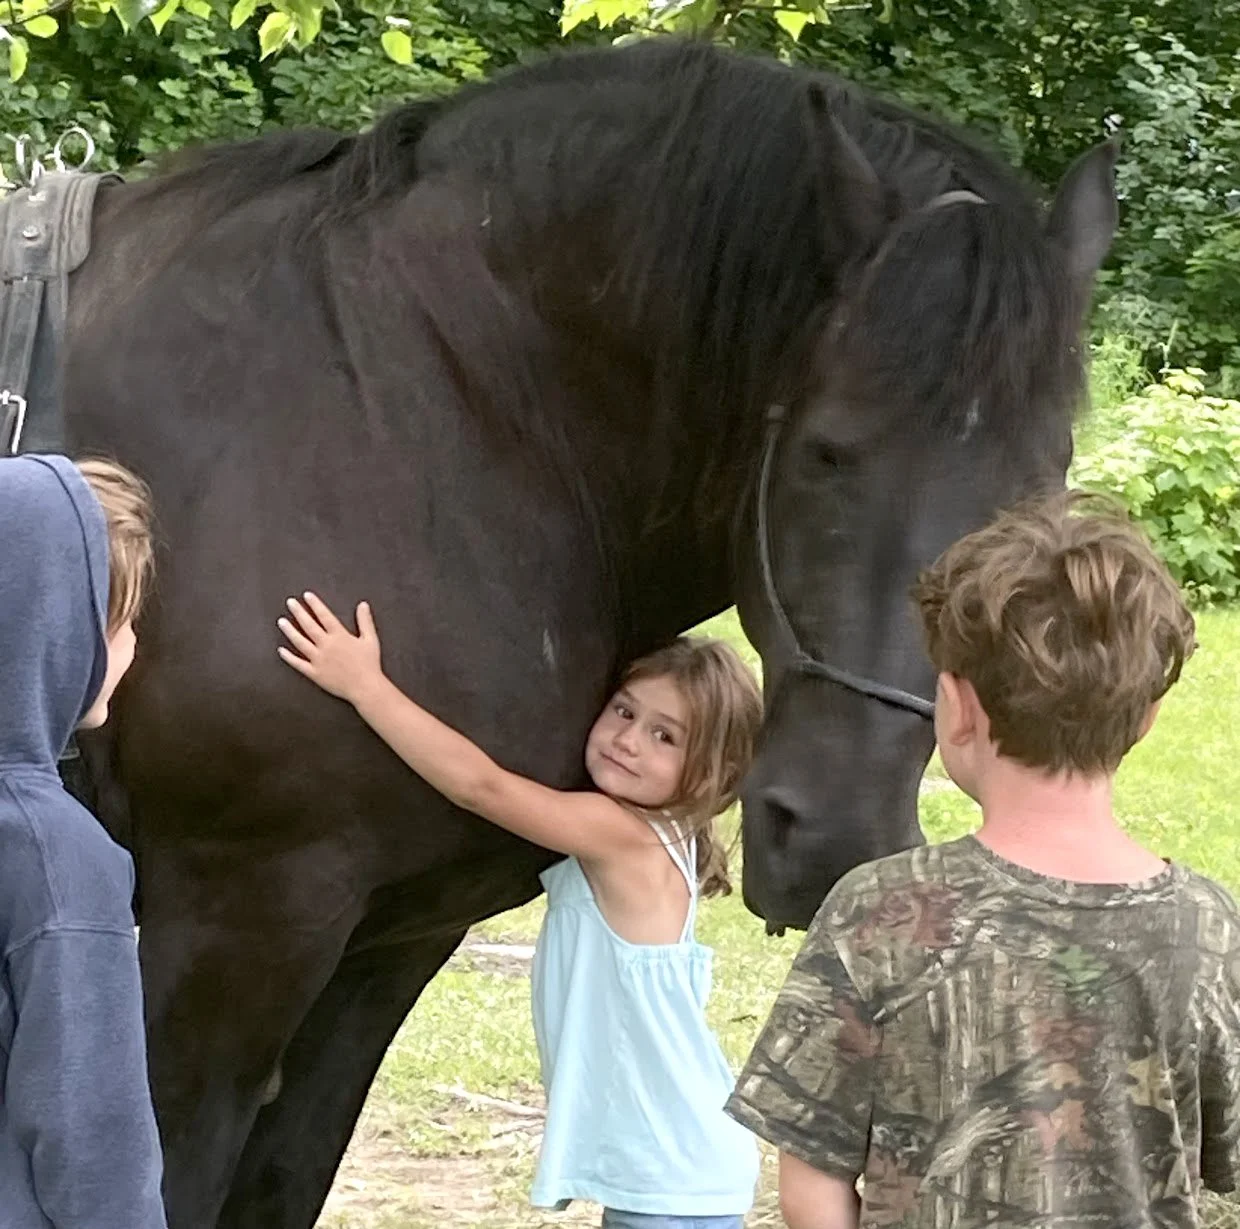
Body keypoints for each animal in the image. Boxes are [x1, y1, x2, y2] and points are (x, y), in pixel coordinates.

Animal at [51, 37, 1115, 1228]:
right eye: (828, 451)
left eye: (1041, 483)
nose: (834, 835)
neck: (403, 413)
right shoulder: (234, 930)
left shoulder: (387, 945)